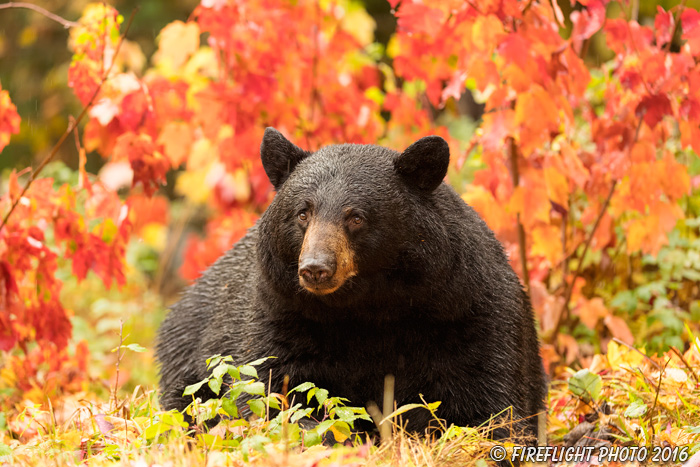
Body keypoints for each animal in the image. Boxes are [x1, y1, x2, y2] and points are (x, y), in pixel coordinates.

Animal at [159, 129, 548, 442]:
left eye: (356, 217)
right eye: (303, 213)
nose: (315, 268)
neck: (367, 309)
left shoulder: (467, 312)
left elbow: (487, 399)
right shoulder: (281, 313)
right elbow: (273, 388)